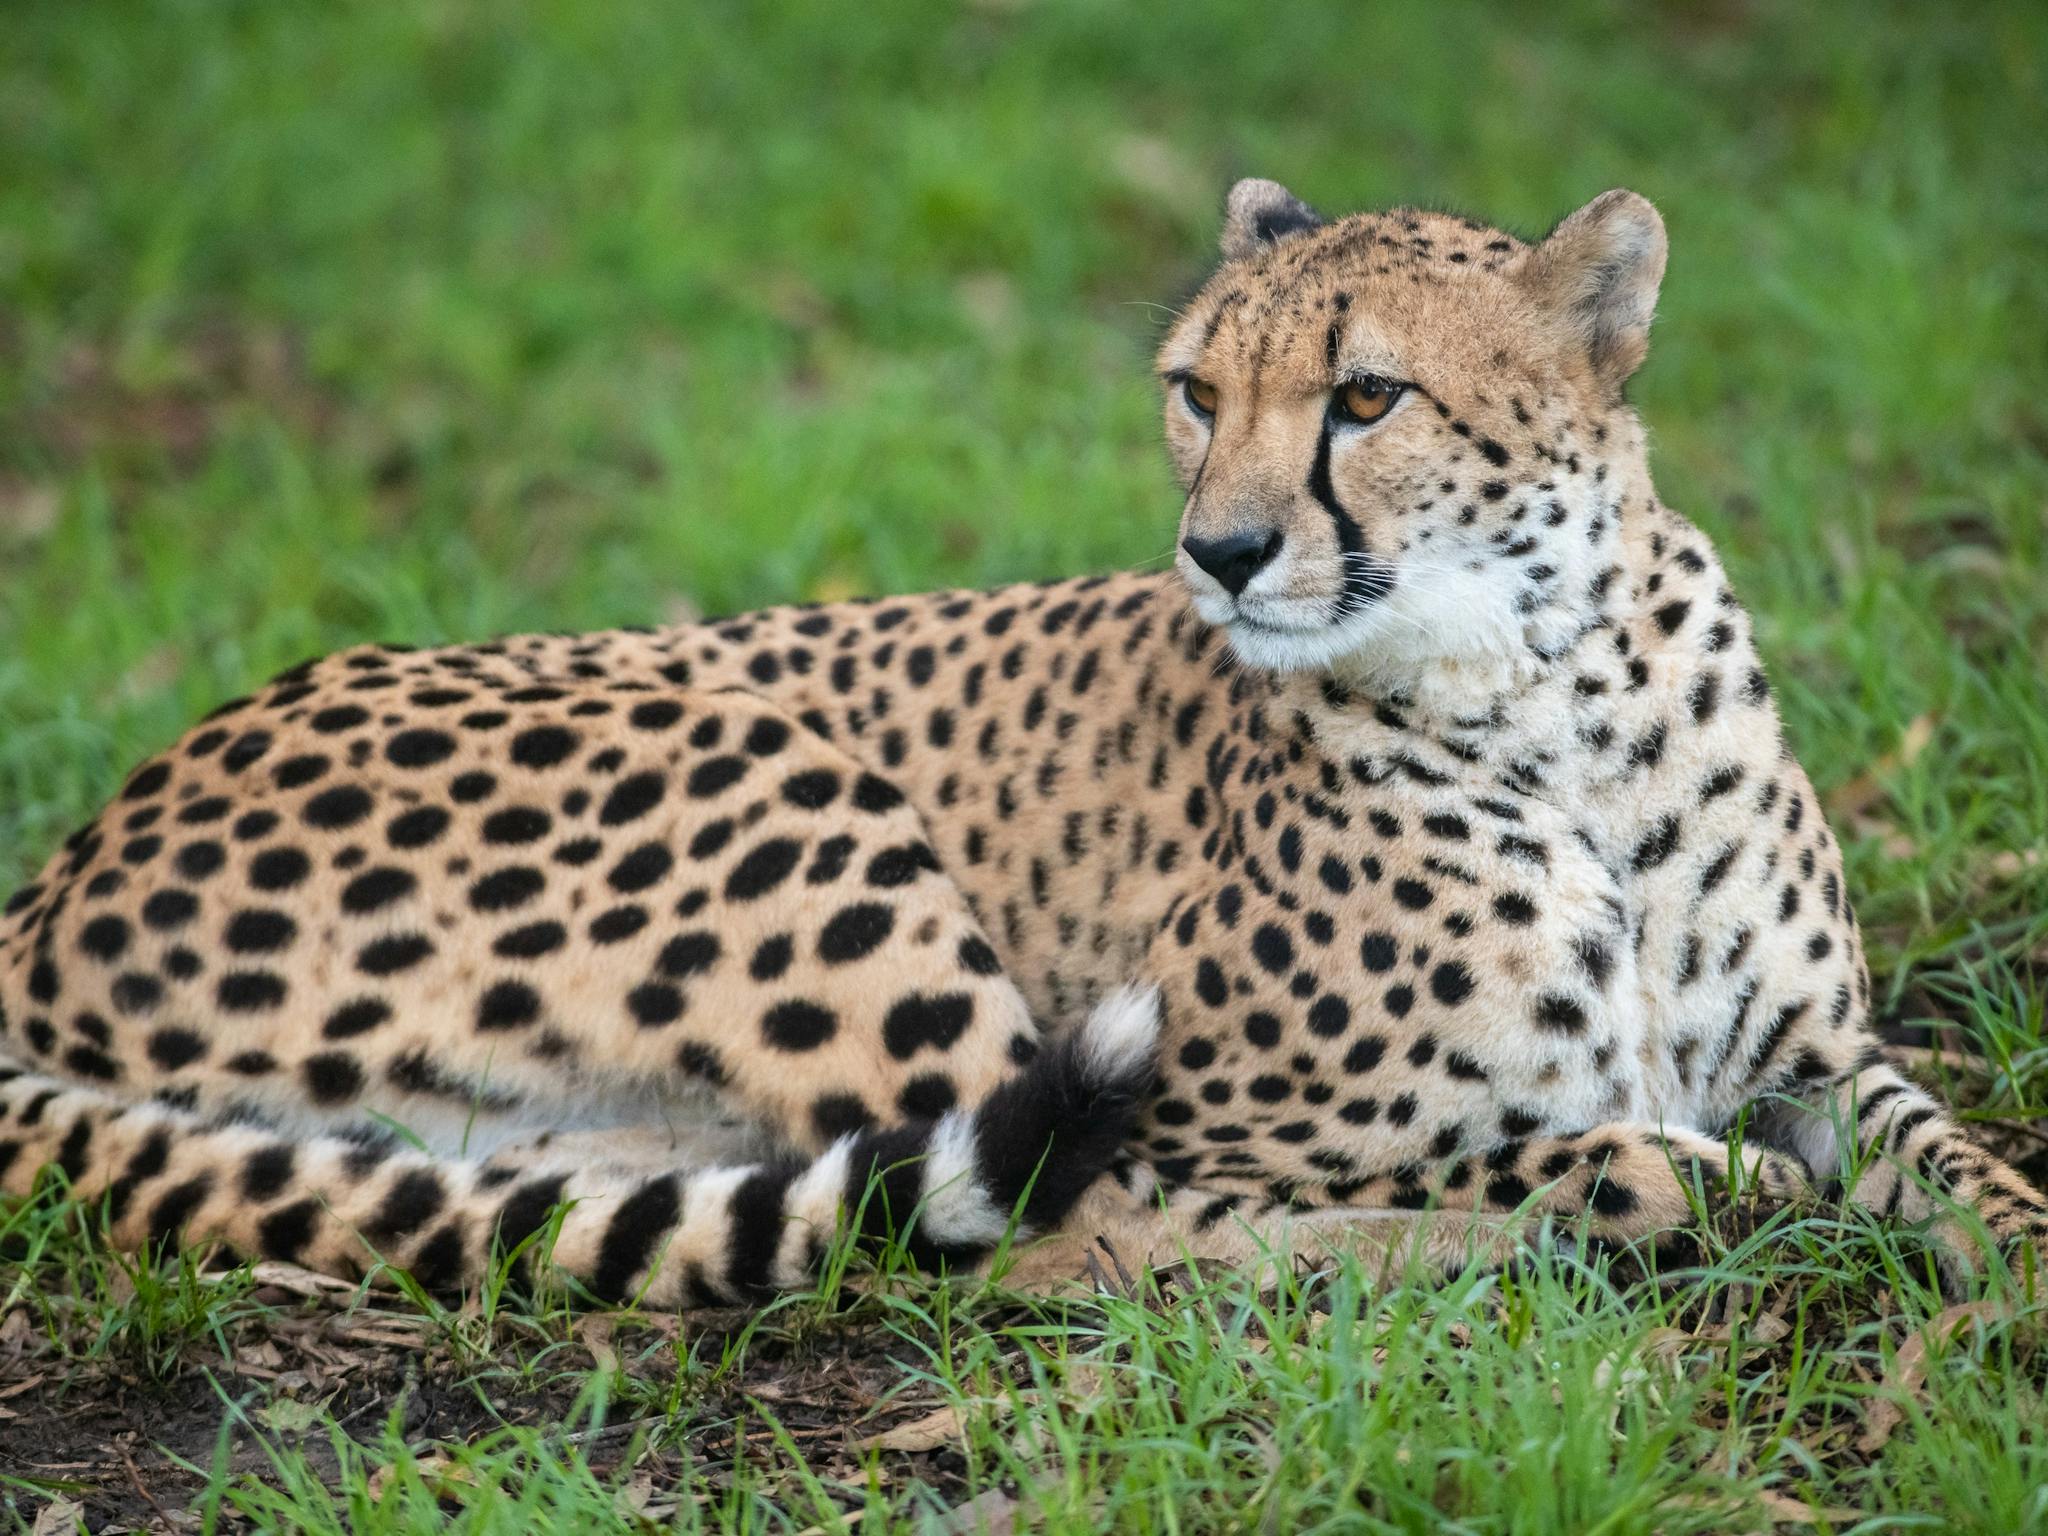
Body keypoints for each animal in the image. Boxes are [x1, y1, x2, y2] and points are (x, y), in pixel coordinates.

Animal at [4, 181, 2044, 1309]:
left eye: (1366, 396)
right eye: (1196, 392)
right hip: (782, 781)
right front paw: (1661, 1185)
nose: (1221, 552)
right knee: (1034, 1245)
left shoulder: (1813, 1050)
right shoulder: (1211, 1113)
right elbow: (1450, 1161)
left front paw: (2006, 1267)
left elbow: (1957, 1161)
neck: (1553, 694)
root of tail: (63, 864)